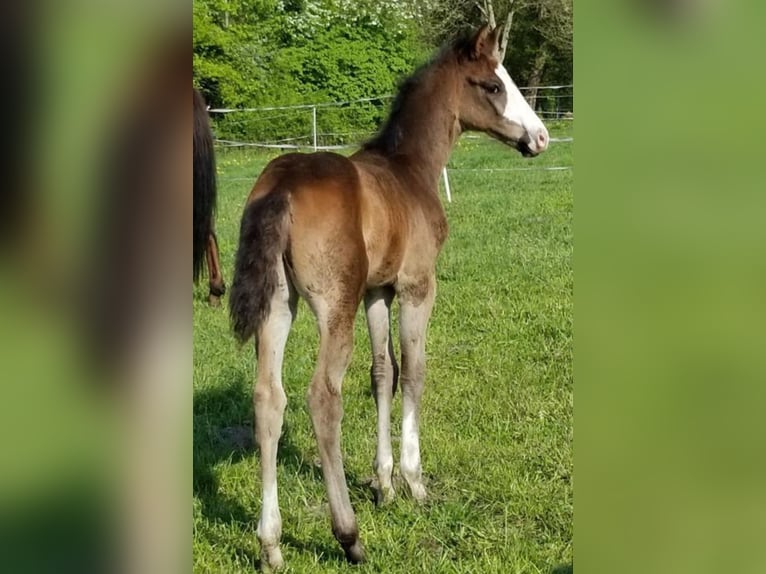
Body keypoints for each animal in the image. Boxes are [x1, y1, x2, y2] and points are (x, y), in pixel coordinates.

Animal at [231, 24, 548, 568]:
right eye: (492, 85)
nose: (541, 137)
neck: (410, 170)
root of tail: (282, 186)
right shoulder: (418, 286)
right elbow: (414, 370)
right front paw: (413, 481)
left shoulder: (377, 291)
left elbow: (384, 373)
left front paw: (383, 484)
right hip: (332, 306)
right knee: (322, 397)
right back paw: (349, 535)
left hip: (277, 303)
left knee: (268, 398)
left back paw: (271, 544)